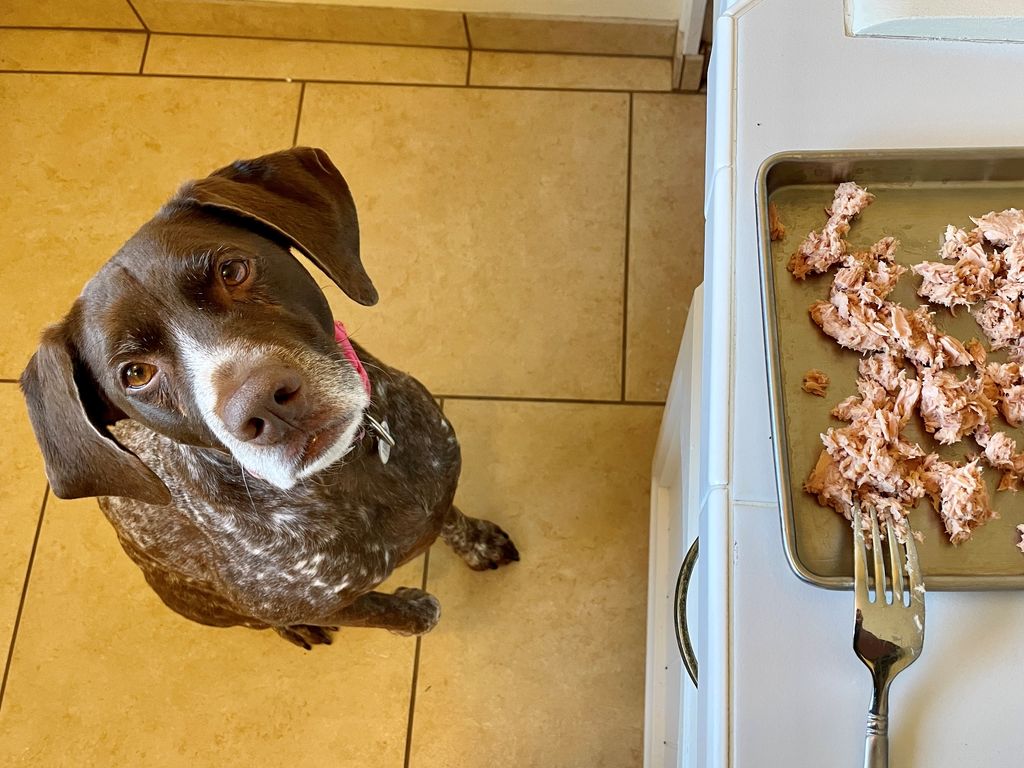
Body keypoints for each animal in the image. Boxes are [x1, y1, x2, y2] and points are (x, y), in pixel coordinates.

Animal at [22, 145, 520, 651]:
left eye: (232, 270)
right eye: (136, 373)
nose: (263, 404)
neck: (347, 474)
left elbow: (449, 517)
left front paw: (477, 542)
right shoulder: (327, 601)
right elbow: (408, 613)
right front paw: (414, 606)